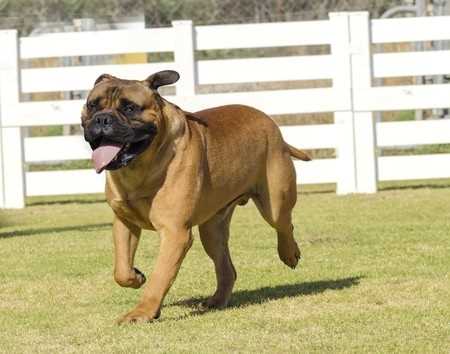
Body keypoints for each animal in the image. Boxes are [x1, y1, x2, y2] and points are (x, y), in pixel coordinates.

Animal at [81, 70, 312, 324]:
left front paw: (142, 312)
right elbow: (121, 269)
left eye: (130, 108)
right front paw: (136, 277)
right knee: (227, 268)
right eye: (92, 105)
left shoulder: (175, 233)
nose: (102, 119)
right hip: (212, 230)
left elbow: (160, 277)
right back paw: (216, 301)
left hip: (276, 203)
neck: (140, 168)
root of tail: (272, 125)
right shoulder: (125, 223)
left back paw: (290, 254)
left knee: (285, 225)